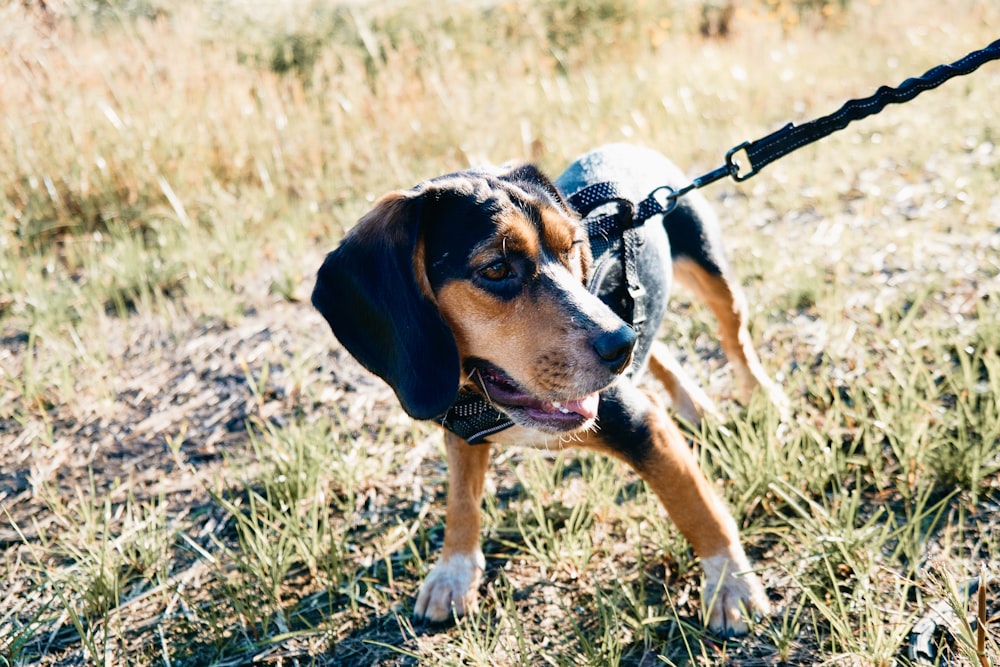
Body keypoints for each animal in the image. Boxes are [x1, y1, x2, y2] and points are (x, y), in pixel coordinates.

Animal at [316, 142, 784, 636]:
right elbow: (461, 501)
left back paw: (762, 396)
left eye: (572, 248)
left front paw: (731, 583)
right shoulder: (460, 427)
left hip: (710, 271)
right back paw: (690, 401)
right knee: (657, 347)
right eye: (496, 268)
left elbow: (696, 506)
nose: (620, 345)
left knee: (734, 337)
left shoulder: (643, 424)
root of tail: (627, 145)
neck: (487, 402)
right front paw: (453, 573)